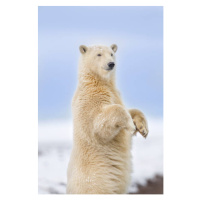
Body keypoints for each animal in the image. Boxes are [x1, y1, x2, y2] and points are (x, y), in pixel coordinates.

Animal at [66, 44, 148, 194]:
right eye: (99, 54)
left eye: (111, 53)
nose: (111, 64)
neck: (98, 81)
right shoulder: (88, 100)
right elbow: (99, 123)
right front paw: (130, 125)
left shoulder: (115, 94)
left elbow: (130, 110)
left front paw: (142, 128)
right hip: (96, 181)